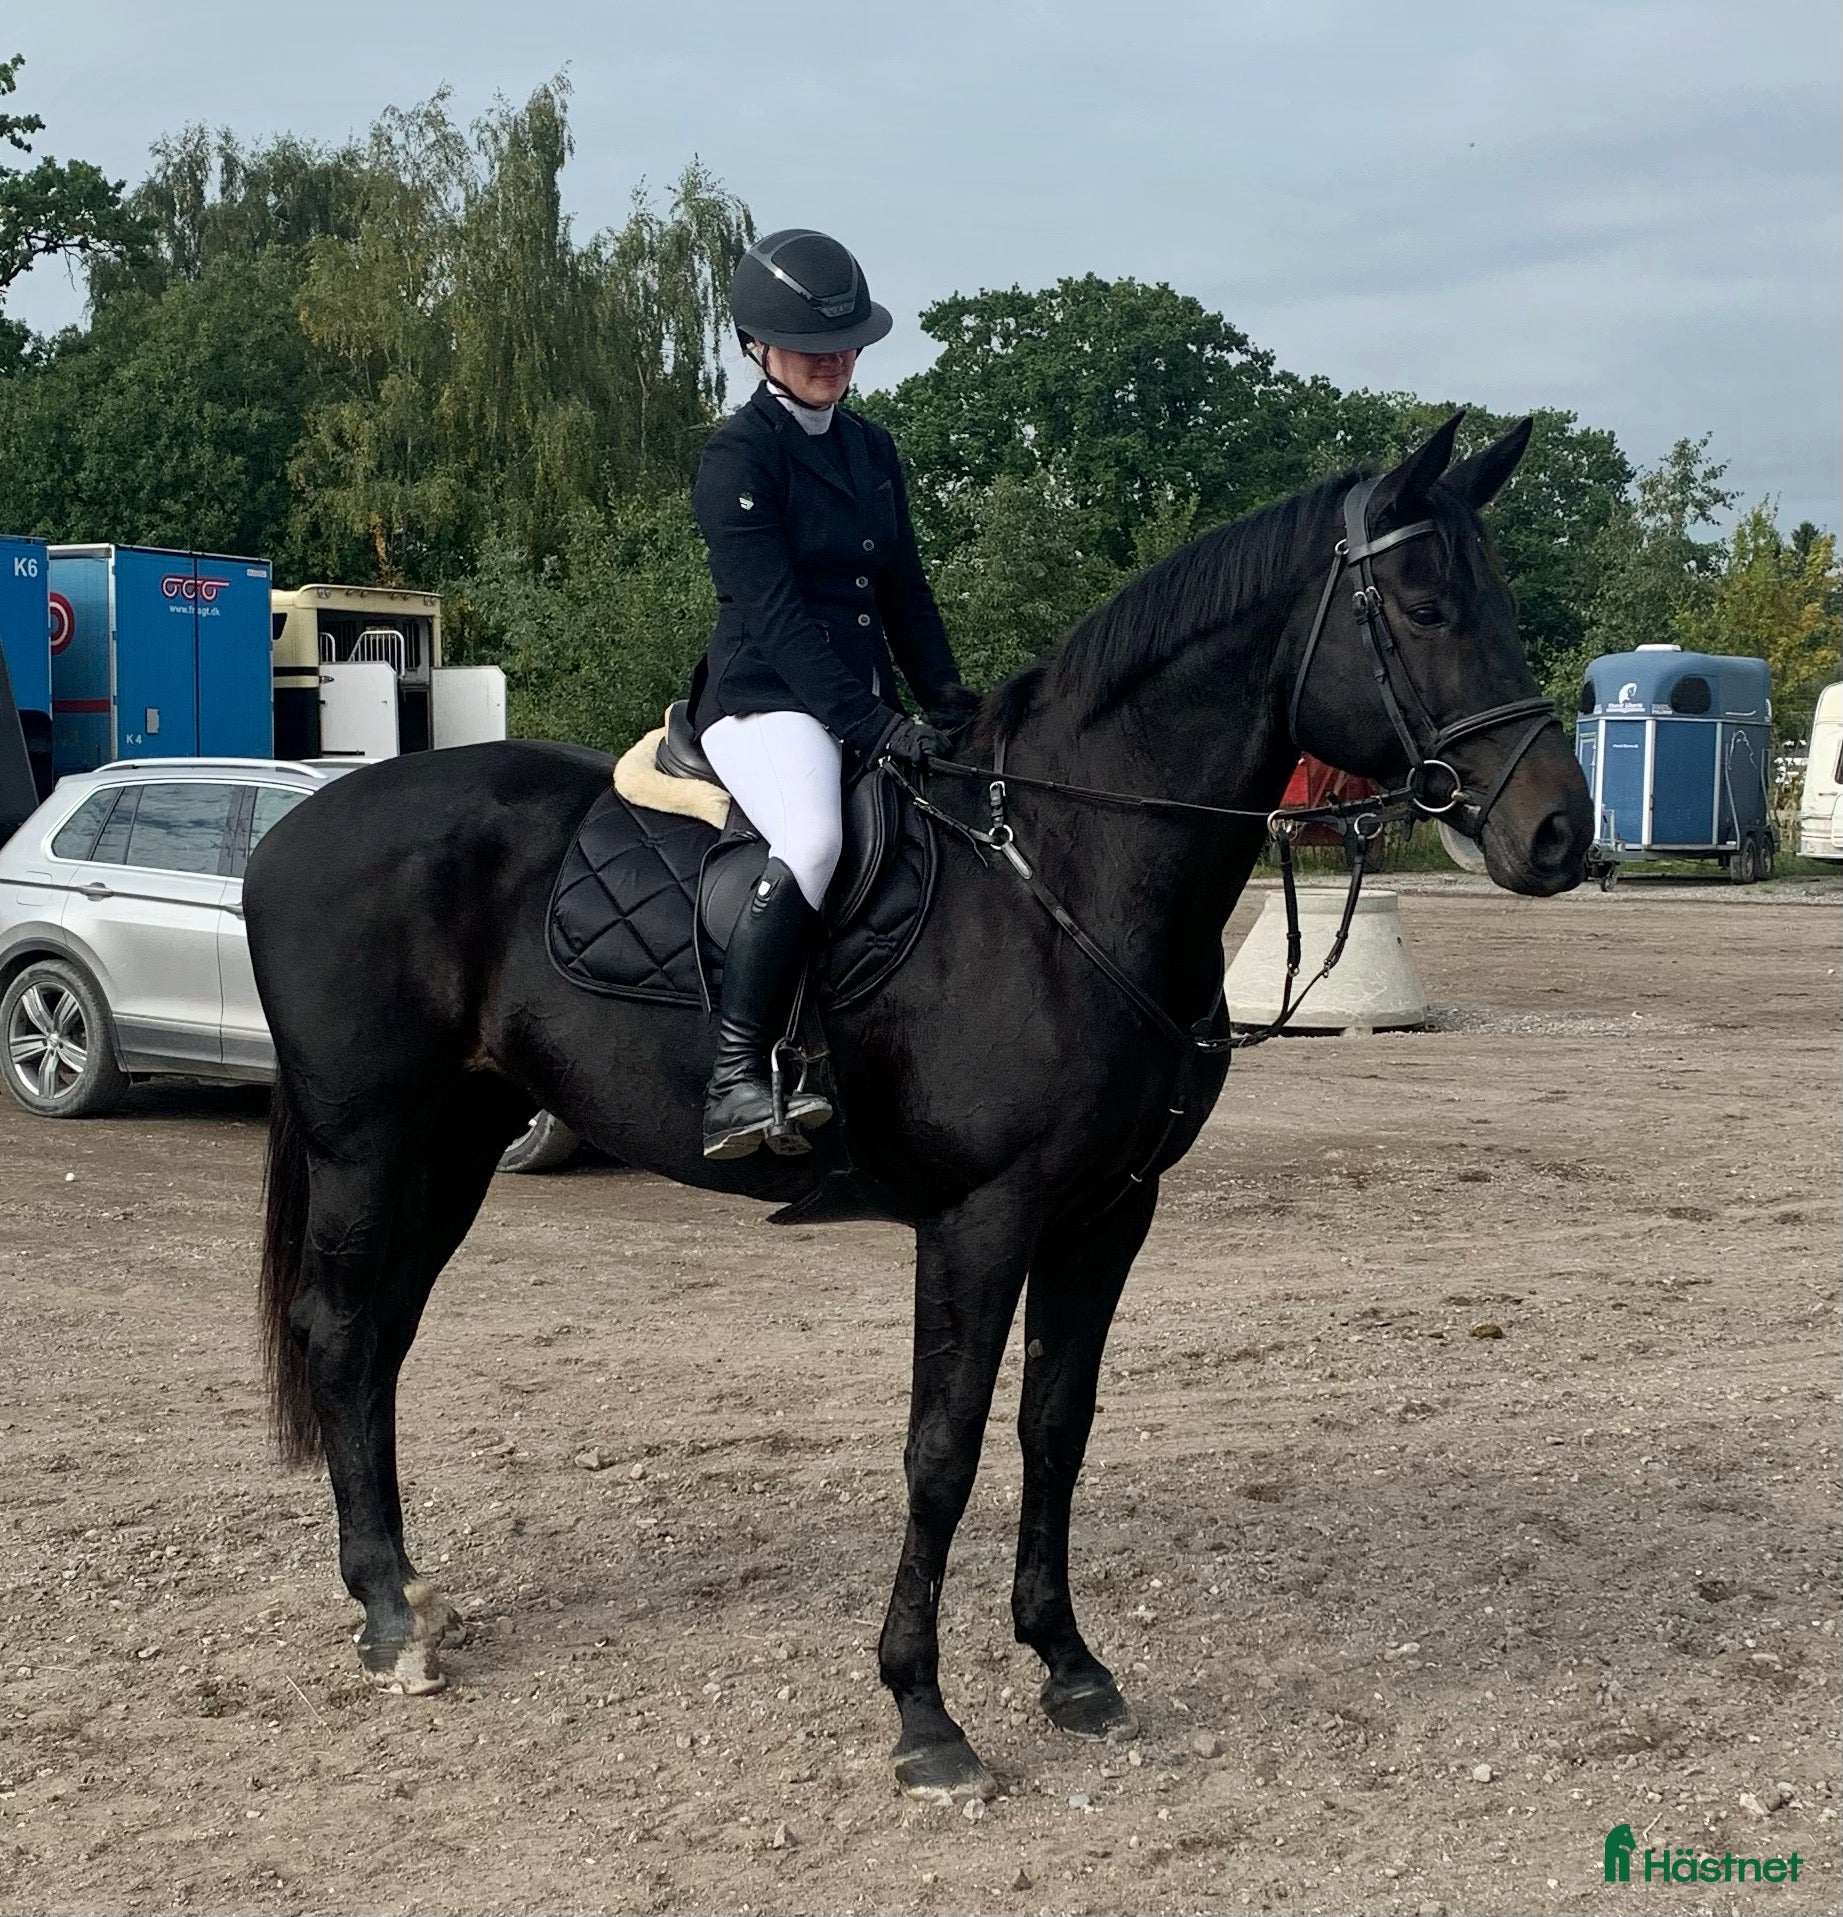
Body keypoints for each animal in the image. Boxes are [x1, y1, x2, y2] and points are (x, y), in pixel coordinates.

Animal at [246, 411, 1592, 1803]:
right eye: (1425, 603)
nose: (1560, 832)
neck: (1064, 872)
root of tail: (294, 825)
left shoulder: (1107, 1213)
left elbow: (1056, 1429)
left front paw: (1069, 1666)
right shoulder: (980, 1219)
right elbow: (940, 1453)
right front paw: (924, 1715)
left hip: (450, 1148)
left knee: (383, 1342)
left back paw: (403, 1593)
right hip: (370, 1143)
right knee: (341, 1336)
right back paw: (388, 1619)